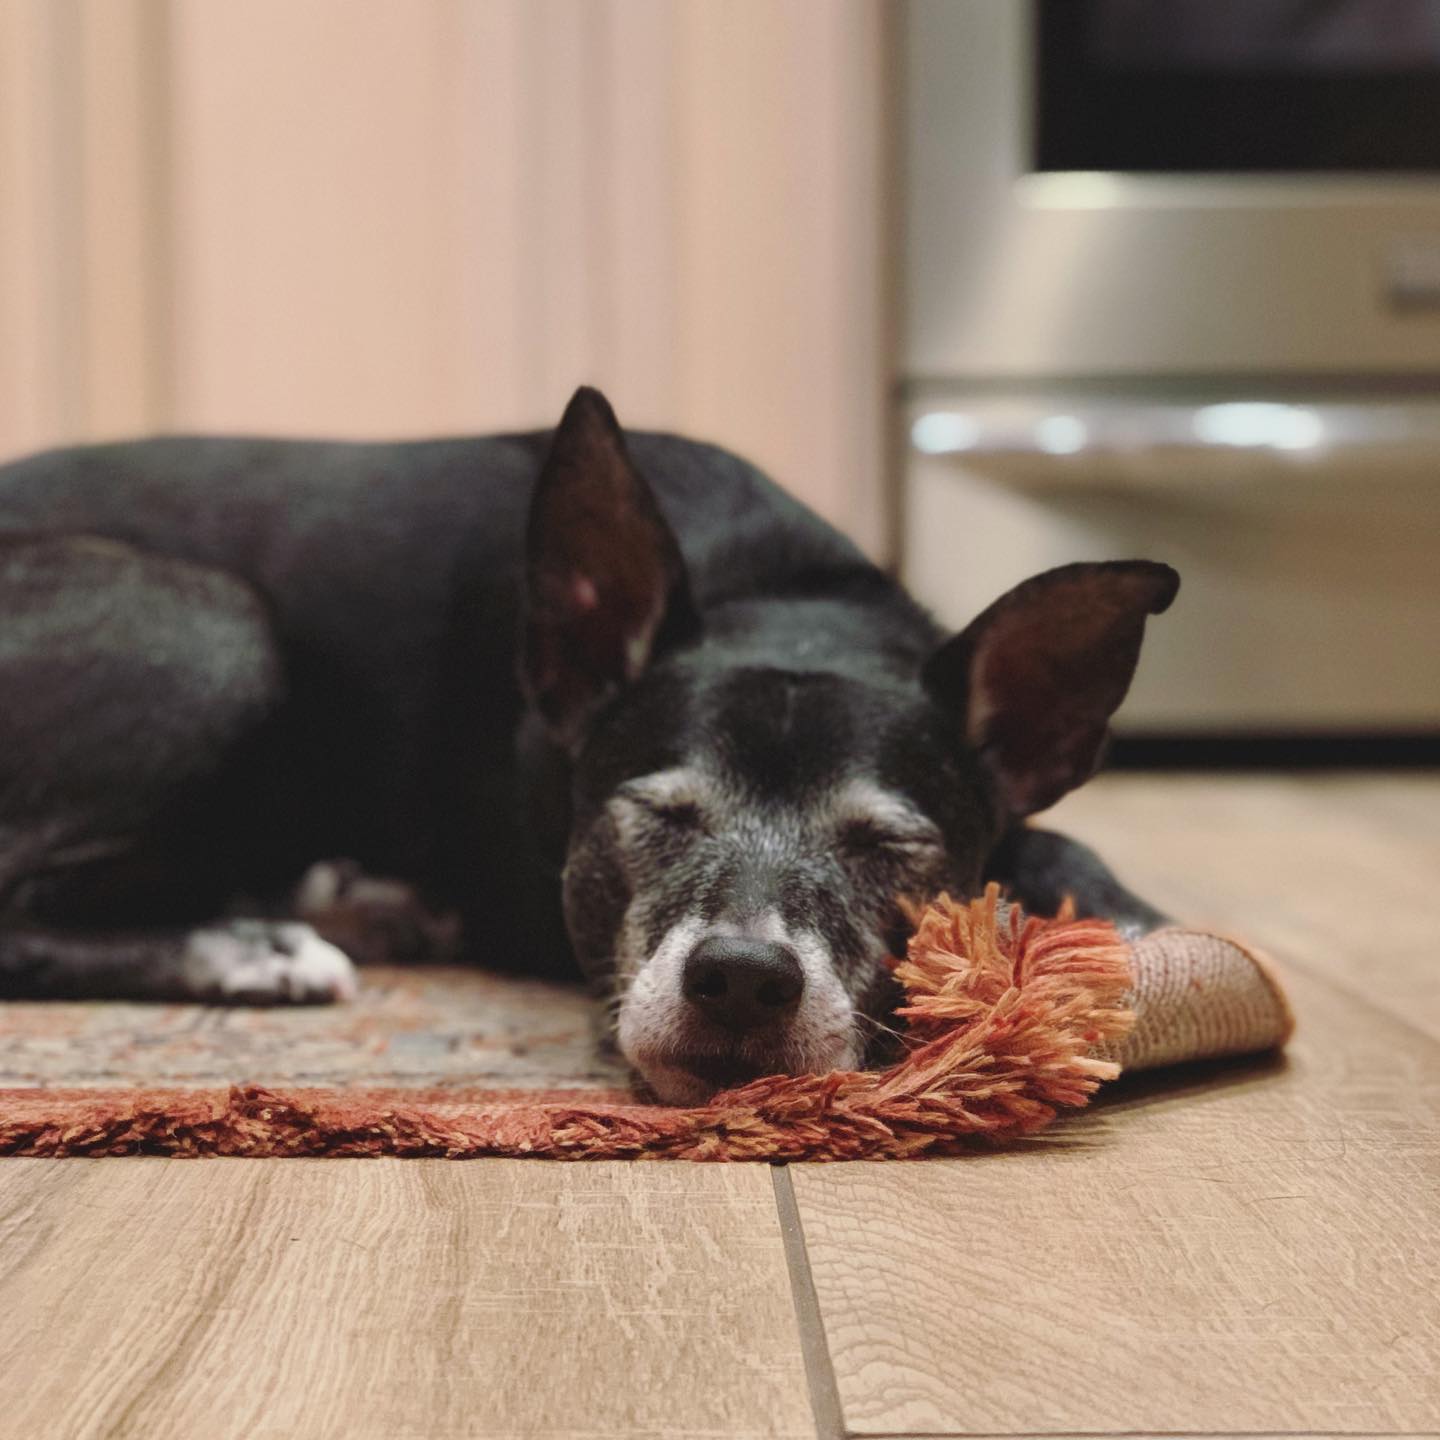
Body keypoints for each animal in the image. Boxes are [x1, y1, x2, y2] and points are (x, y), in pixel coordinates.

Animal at [0, 388, 1169, 1094]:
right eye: (658, 814)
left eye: (889, 847)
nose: (743, 979)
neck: (787, 594)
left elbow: (1052, 841)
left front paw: (1121, 918)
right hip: (211, 622)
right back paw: (253, 949)